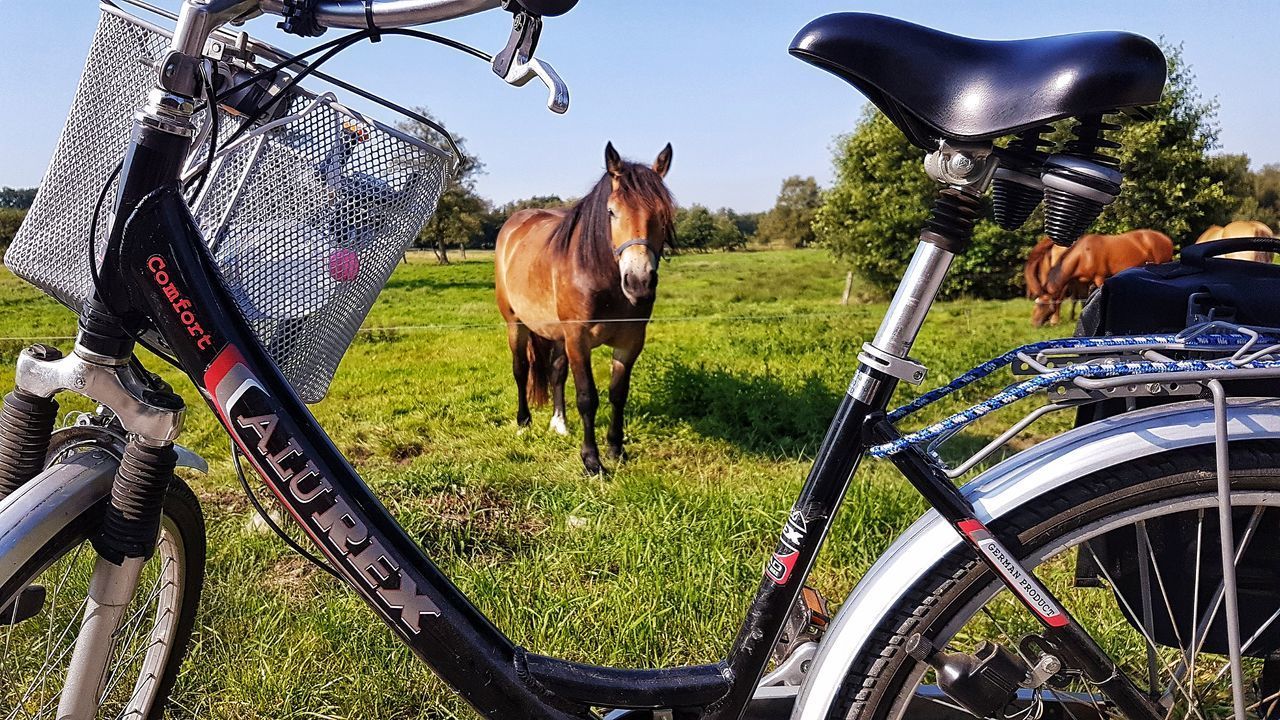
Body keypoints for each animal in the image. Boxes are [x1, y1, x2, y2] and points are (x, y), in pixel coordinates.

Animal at [491, 142, 680, 474]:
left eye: (663, 214)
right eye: (611, 211)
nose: (639, 282)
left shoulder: (630, 341)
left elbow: (618, 394)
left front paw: (616, 449)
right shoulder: (578, 340)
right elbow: (587, 397)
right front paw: (592, 461)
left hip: (555, 333)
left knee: (556, 371)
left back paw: (559, 423)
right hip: (516, 324)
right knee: (521, 369)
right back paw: (523, 423)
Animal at [1034, 228, 1172, 326]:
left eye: (1042, 305)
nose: (1035, 323)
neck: (1083, 254)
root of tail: (1167, 240)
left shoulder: (1099, 278)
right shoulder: (1083, 283)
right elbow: (1083, 301)